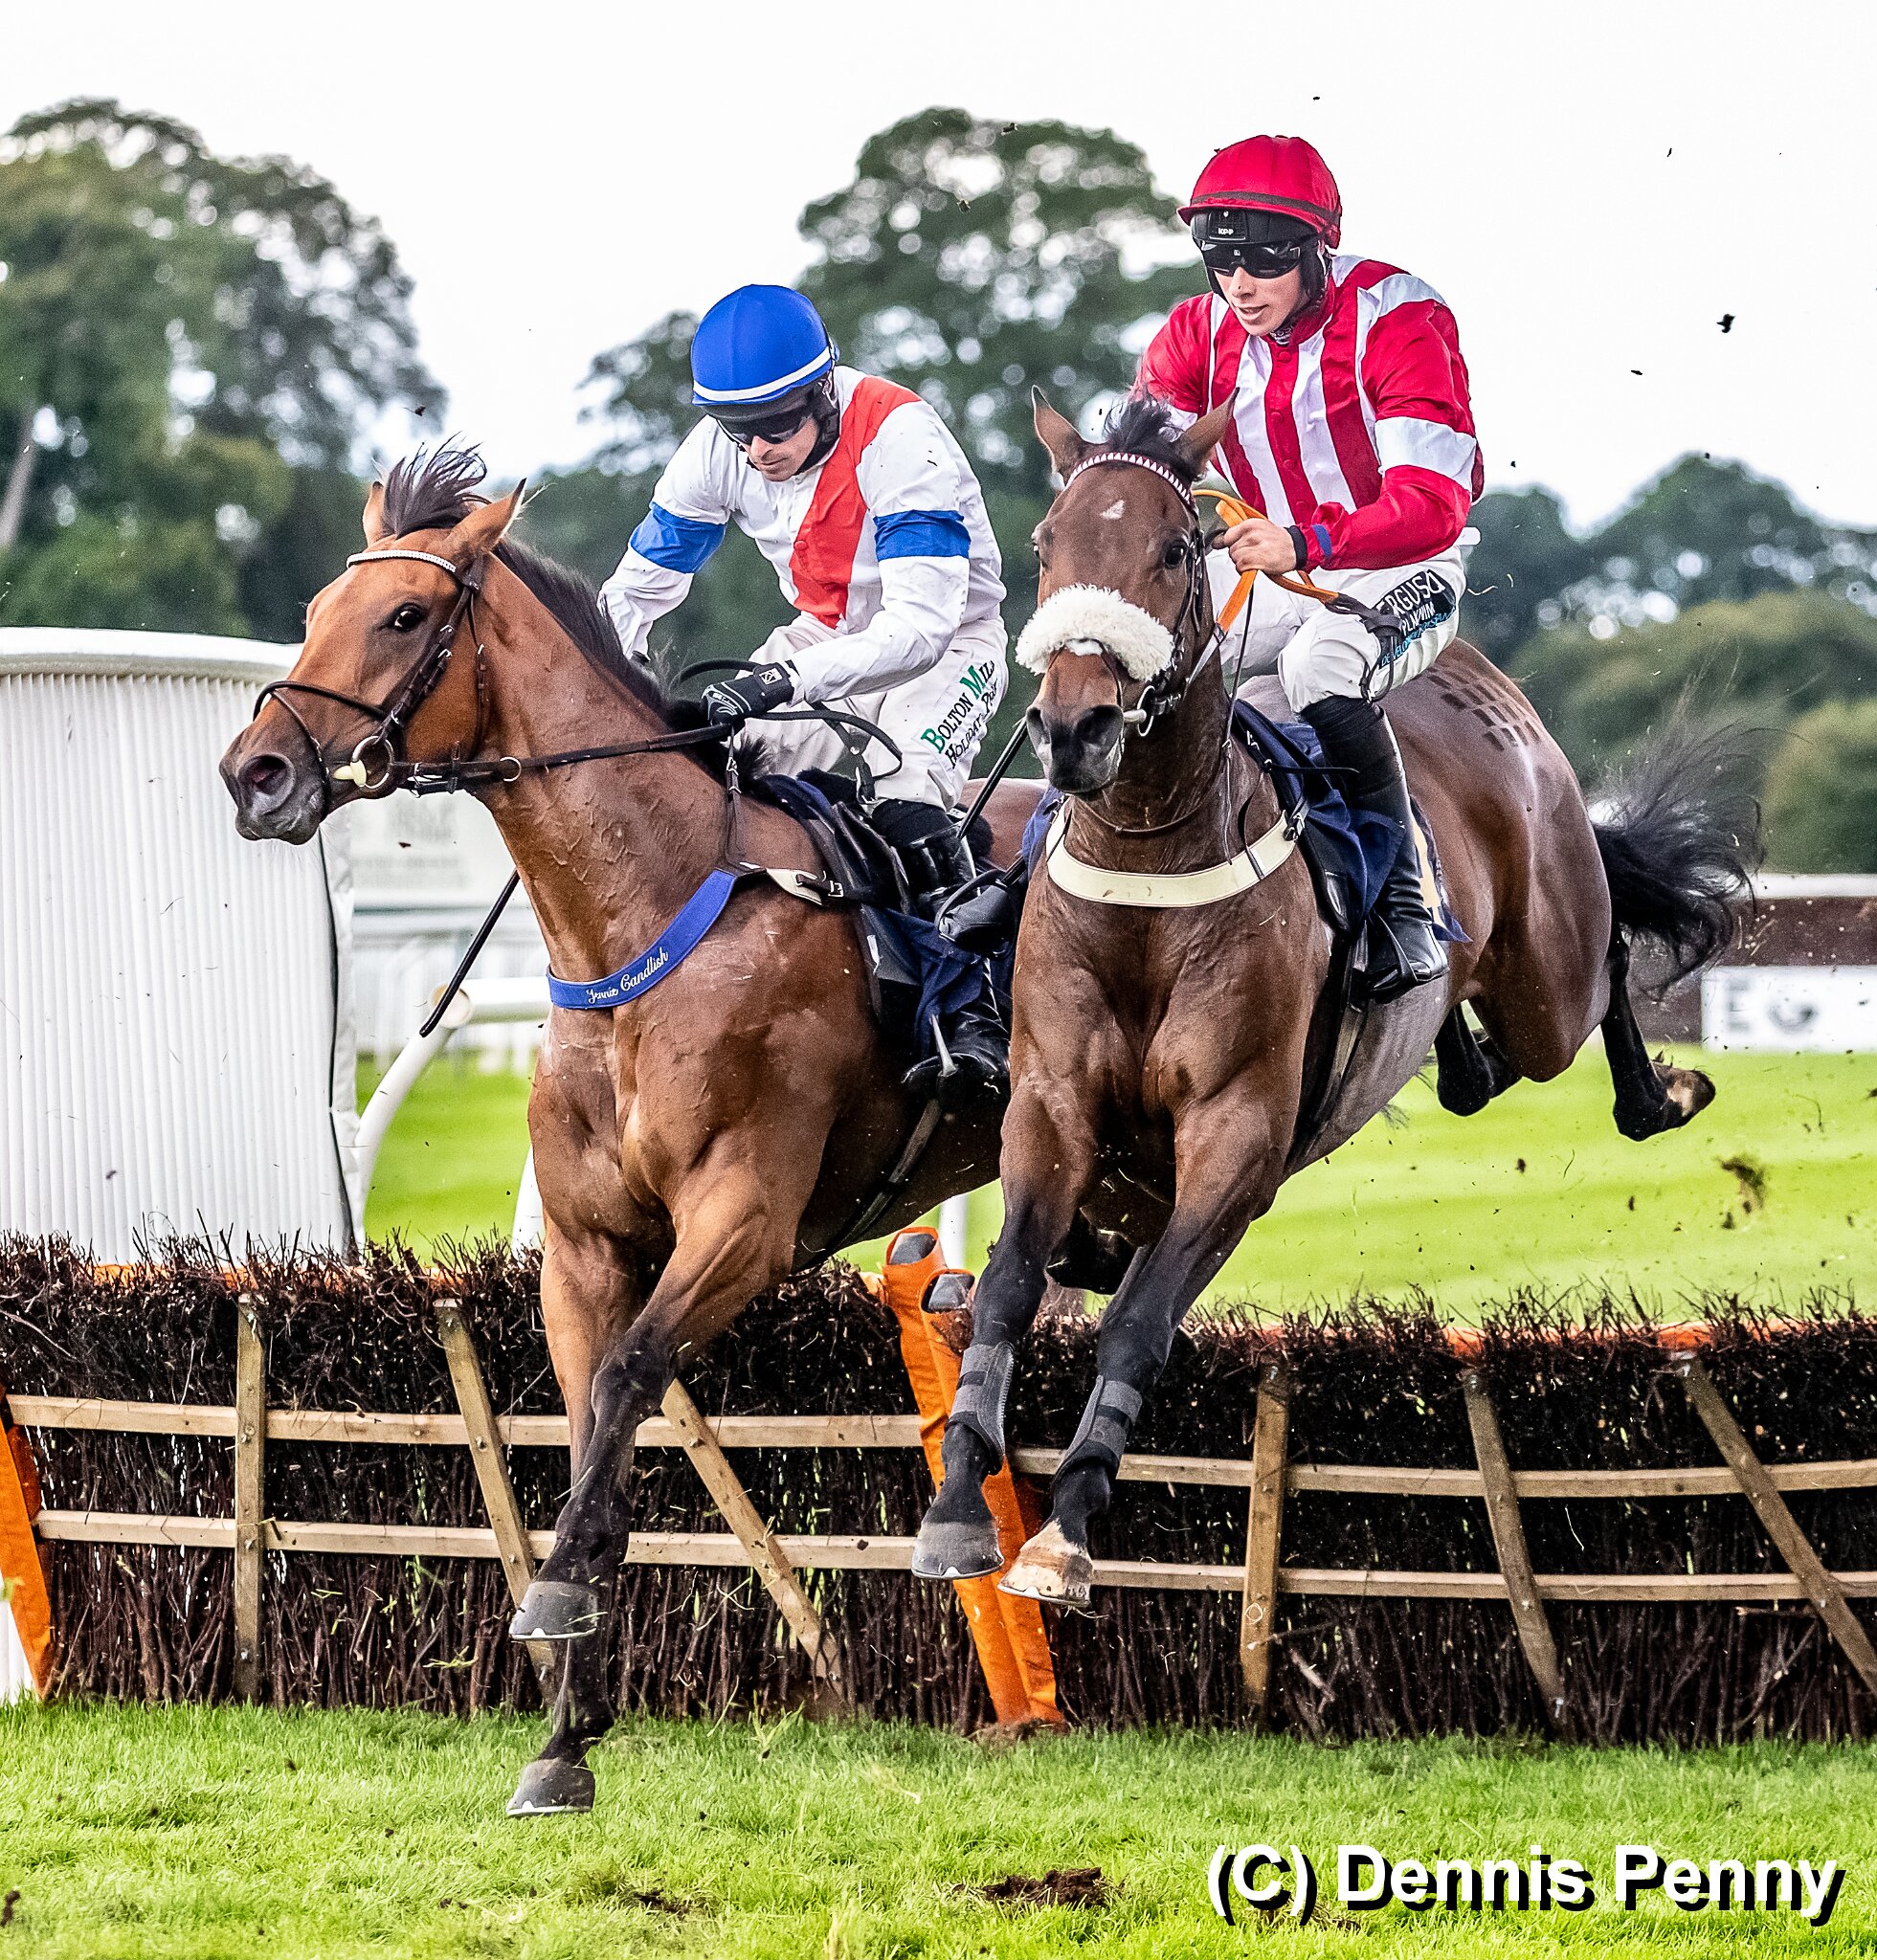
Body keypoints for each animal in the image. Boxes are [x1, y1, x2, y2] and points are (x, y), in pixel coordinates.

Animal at [220, 448, 1040, 1814]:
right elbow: (588, 1421)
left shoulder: (745, 1219)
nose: (257, 772)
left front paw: (556, 1610)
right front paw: (564, 1732)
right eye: (317, 612)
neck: (645, 917)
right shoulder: (586, 1248)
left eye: (403, 616)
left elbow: (626, 1382)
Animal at [911, 394, 1751, 1605]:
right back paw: (1456, 1041)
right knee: (1471, 1047)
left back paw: (1657, 1092)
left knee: (1594, 977)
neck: (1151, 883)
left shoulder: (1236, 1131)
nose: (1076, 730)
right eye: (1044, 543)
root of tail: (1479, 679)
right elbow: (1013, 1282)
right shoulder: (1049, 1104)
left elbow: (1137, 1320)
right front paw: (954, 1507)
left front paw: (1064, 1527)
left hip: (1543, 961)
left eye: (1176, 550)